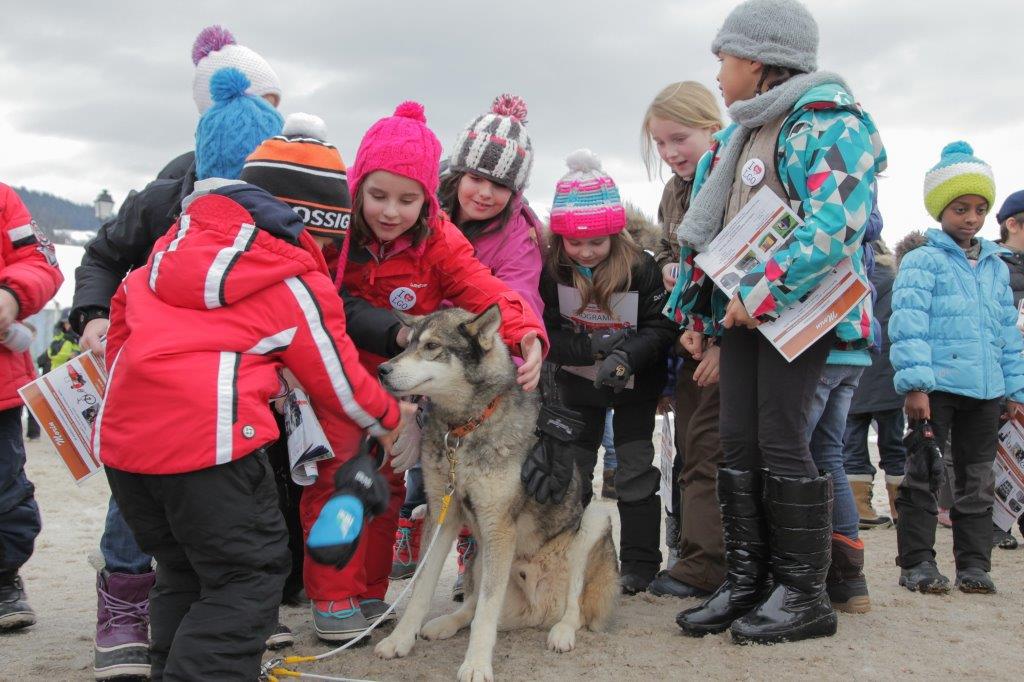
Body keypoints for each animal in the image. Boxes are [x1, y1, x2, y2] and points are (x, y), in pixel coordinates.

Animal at [374, 307, 614, 679]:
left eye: (431, 346)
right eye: (408, 343)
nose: (382, 370)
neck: (464, 428)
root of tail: (539, 612)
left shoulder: (498, 525)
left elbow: (486, 613)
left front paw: (475, 665)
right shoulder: (443, 515)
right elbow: (422, 591)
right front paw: (400, 640)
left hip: (594, 520)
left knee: (573, 608)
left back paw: (562, 631)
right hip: (478, 555)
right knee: (471, 607)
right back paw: (444, 624)